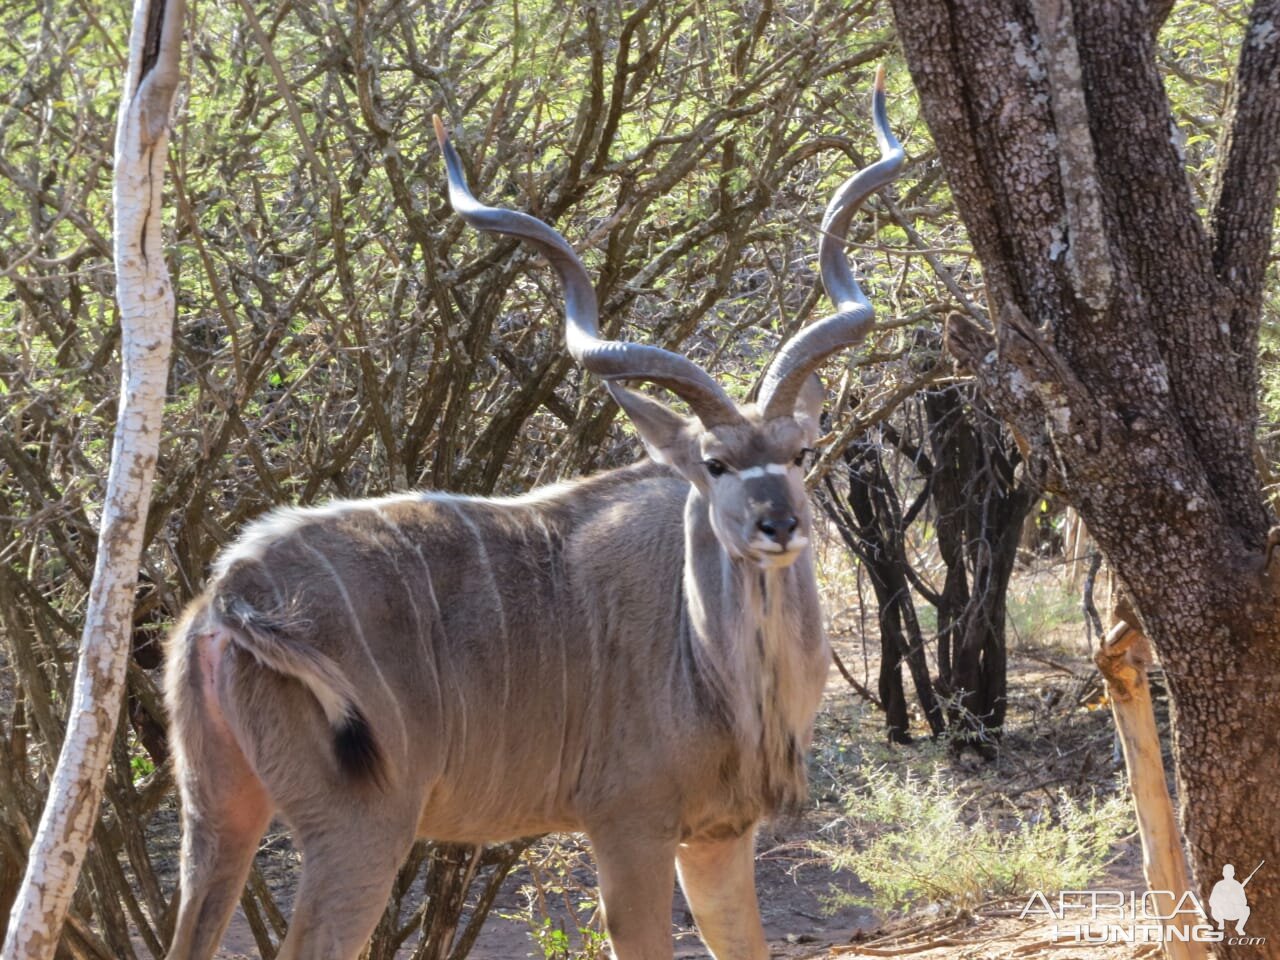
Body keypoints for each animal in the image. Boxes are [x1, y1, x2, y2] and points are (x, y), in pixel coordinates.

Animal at [162, 69, 901, 960]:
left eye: (798, 452)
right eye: (715, 464)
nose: (778, 526)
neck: (709, 659)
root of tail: (230, 591)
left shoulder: (718, 838)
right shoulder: (629, 828)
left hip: (217, 815)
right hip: (361, 827)